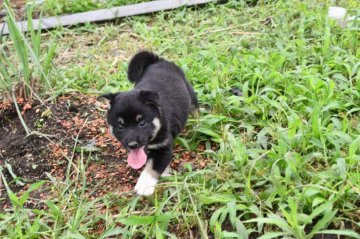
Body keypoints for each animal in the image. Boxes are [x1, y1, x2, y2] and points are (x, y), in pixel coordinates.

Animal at [100, 51, 198, 195]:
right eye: (120, 126)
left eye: (142, 123)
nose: (132, 145)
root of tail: (158, 60)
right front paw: (165, 172)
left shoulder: (163, 146)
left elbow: (153, 167)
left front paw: (144, 186)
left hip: (190, 94)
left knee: (196, 110)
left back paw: (198, 125)